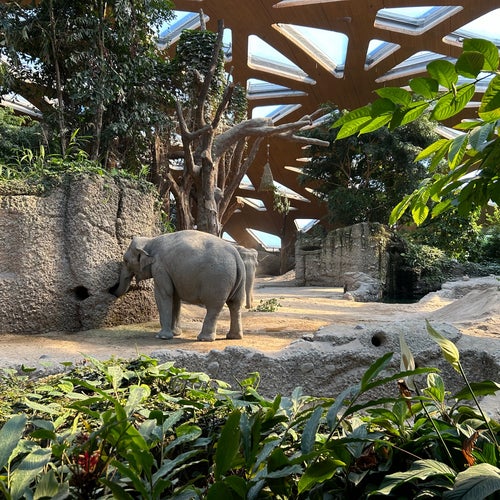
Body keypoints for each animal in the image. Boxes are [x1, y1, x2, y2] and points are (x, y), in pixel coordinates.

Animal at [110, 230, 246, 342]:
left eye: (126, 261)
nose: (111, 290)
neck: (150, 240)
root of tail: (236, 256)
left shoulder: (160, 267)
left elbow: (164, 294)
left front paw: (162, 336)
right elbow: (175, 297)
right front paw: (175, 333)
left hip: (217, 280)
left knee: (214, 307)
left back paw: (204, 339)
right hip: (239, 281)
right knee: (235, 305)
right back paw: (234, 337)